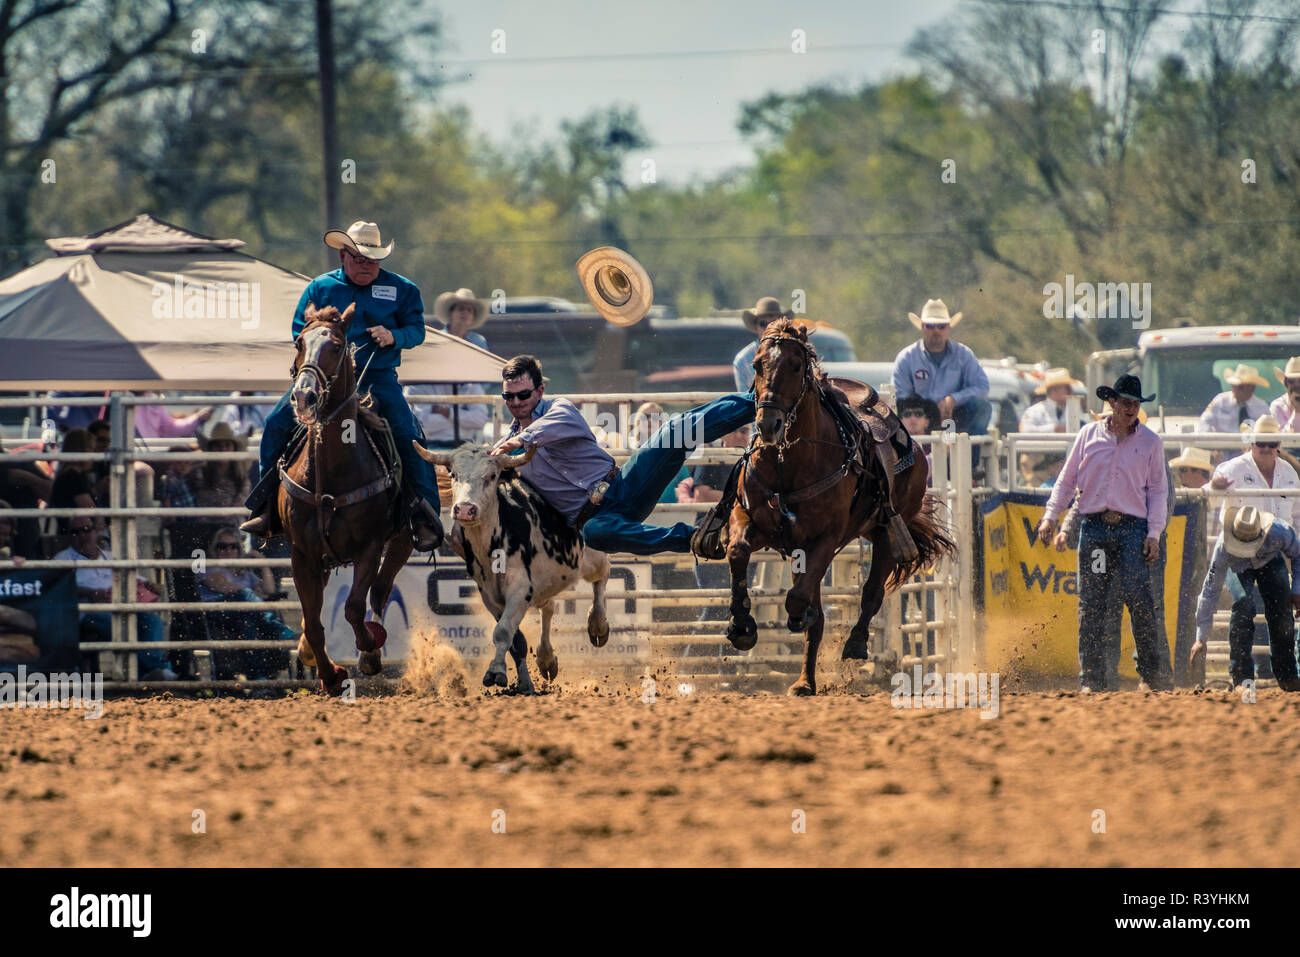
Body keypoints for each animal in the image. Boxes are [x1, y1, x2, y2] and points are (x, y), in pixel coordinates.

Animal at [279, 302, 410, 691]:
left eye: (336, 346)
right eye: (299, 343)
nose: (303, 396)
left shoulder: (369, 546)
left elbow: (353, 607)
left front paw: (369, 650)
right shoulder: (301, 554)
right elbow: (313, 622)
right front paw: (329, 674)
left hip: (403, 540)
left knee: (381, 589)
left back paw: (373, 644)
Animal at [722, 321, 956, 696]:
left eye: (796, 366)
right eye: (757, 365)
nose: (768, 424)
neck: (789, 461)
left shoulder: (825, 539)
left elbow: (799, 600)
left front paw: (796, 616)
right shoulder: (751, 520)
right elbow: (739, 552)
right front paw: (741, 626)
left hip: (887, 532)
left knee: (871, 593)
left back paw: (855, 644)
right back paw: (804, 681)